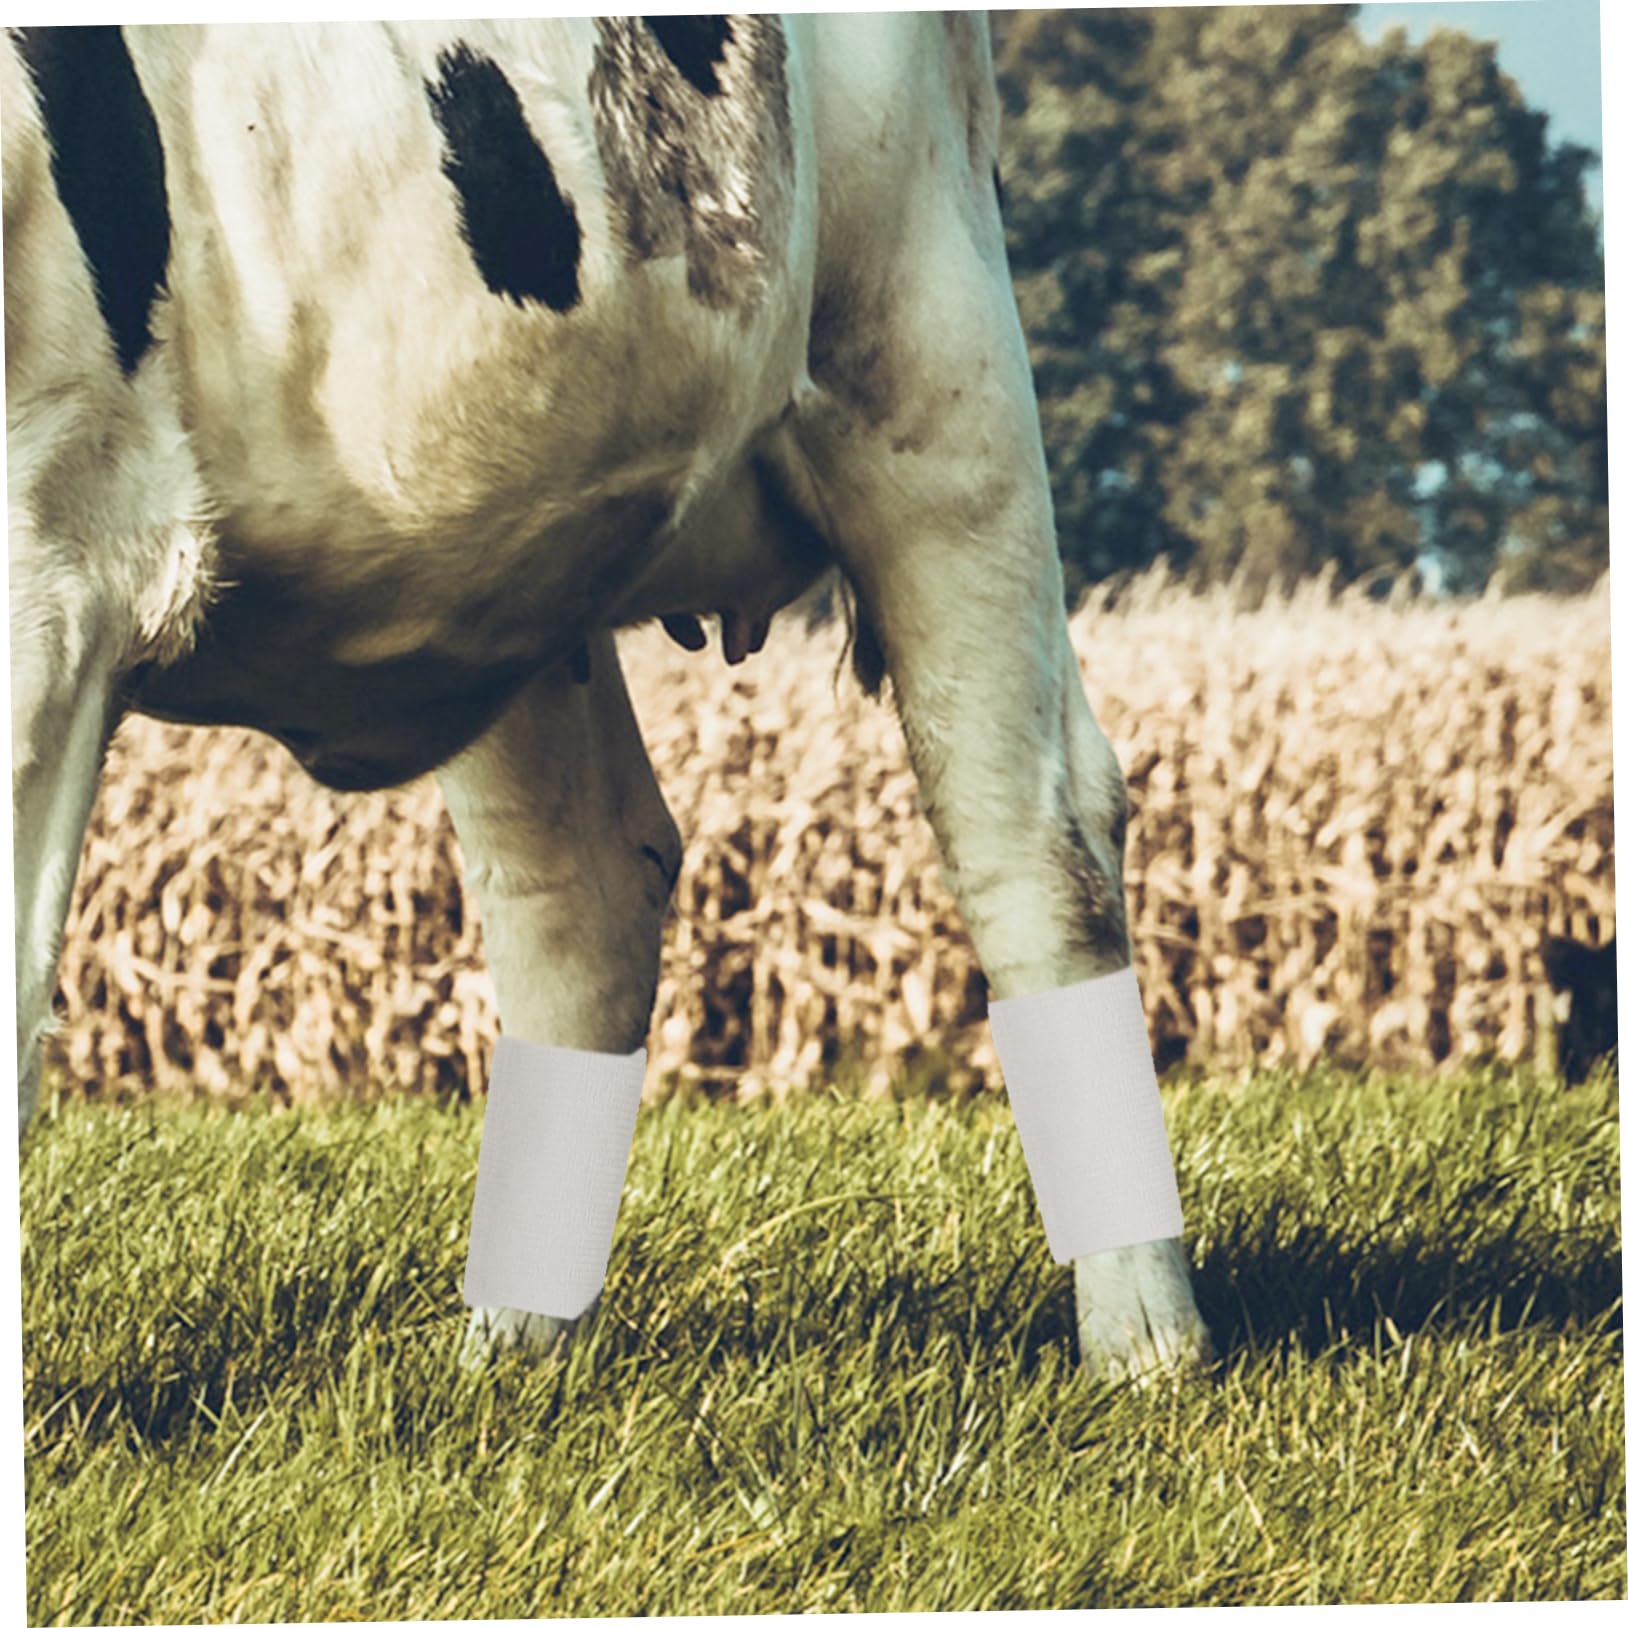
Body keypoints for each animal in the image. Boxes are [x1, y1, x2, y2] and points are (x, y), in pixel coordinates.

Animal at [5, 15, 1214, 1384]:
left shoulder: (51, 561)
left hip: (928, 362)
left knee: (1035, 842)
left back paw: (1142, 1341)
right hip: (514, 544)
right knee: (586, 888)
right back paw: (503, 1355)